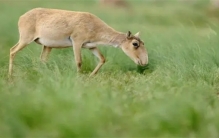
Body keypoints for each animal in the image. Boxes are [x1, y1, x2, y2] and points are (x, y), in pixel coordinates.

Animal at [9, 7, 149, 77]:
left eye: (143, 43)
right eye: (135, 44)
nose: (144, 62)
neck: (94, 25)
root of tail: (21, 17)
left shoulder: (91, 46)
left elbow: (102, 59)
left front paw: (90, 76)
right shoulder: (77, 42)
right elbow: (79, 61)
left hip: (47, 46)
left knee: (42, 60)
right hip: (25, 39)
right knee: (12, 51)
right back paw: (10, 76)